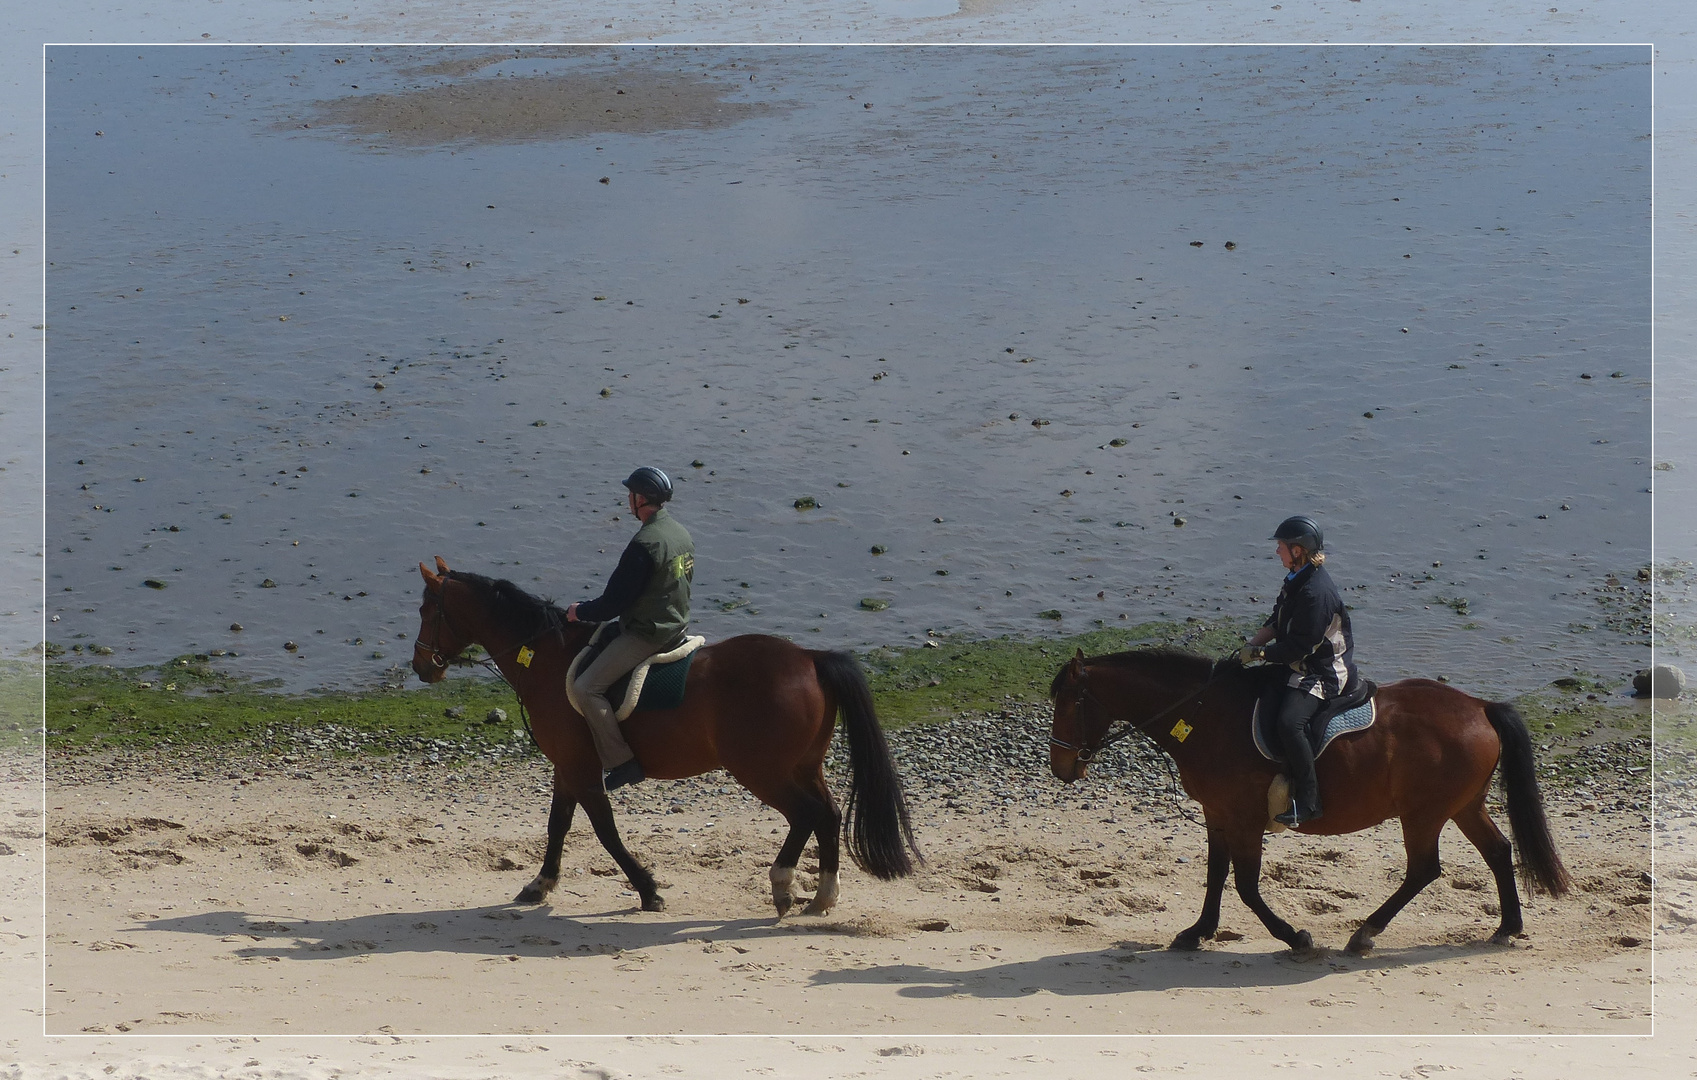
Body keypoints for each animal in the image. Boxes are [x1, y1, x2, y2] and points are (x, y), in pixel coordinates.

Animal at [414, 556, 916, 916]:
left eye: (424, 609)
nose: (421, 667)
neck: (547, 658)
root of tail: (810, 658)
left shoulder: (580, 767)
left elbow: (604, 830)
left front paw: (647, 889)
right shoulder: (567, 765)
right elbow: (559, 824)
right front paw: (540, 884)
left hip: (762, 771)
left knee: (806, 815)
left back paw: (783, 885)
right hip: (803, 766)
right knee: (828, 815)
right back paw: (823, 897)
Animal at [1045, 645, 1574, 950]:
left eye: (1069, 703)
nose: (1061, 768)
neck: (1204, 714)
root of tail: (1480, 707)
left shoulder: (1244, 818)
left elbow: (1246, 885)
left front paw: (1293, 936)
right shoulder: (1218, 813)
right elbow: (1216, 876)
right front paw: (1197, 933)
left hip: (1423, 814)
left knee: (1424, 869)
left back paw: (1366, 933)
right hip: (1463, 806)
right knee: (1498, 851)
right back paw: (1507, 927)